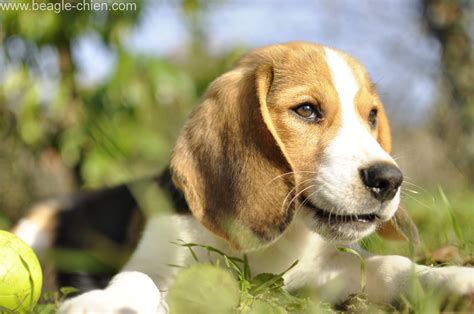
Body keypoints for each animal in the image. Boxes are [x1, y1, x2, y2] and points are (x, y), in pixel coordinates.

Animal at [14, 41, 474, 312]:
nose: (389, 179)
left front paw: (450, 279)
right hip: (32, 227)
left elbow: (390, 265)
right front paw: (112, 302)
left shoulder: (326, 271)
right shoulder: (157, 260)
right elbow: (137, 275)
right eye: (307, 110)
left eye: (372, 116)